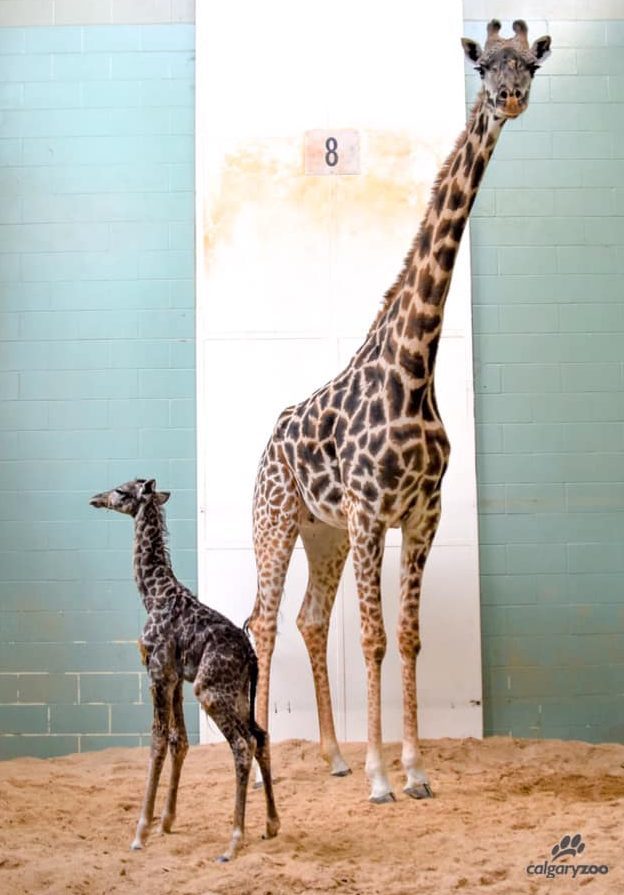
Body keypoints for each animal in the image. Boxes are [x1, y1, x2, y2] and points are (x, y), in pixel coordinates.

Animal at [90, 478, 279, 862]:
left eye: (120, 491)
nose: (96, 499)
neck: (153, 595)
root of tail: (251, 657)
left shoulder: (157, 672)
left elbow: (158, 740)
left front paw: (141, 832)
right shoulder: (174, 677)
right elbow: (180, 740)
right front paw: (166, 821)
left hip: (209, 691)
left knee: (242, 745)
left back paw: (233, 841)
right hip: (238, 694)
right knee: (261, 736)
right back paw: (271, 825)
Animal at [248, 20, 551, 803]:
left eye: (529, 64)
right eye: (484, 66)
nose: (510, 100)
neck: (416, 367)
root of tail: (268, 441)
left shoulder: (420, 514)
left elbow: (408, 636)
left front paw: (413, 768)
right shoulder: (369, 513)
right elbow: (375, 637)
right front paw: (382, 776)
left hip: (321, 534)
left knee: (307, 619)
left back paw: (332, 754)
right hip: (278, 520)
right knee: (264, 620)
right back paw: (263, 758)